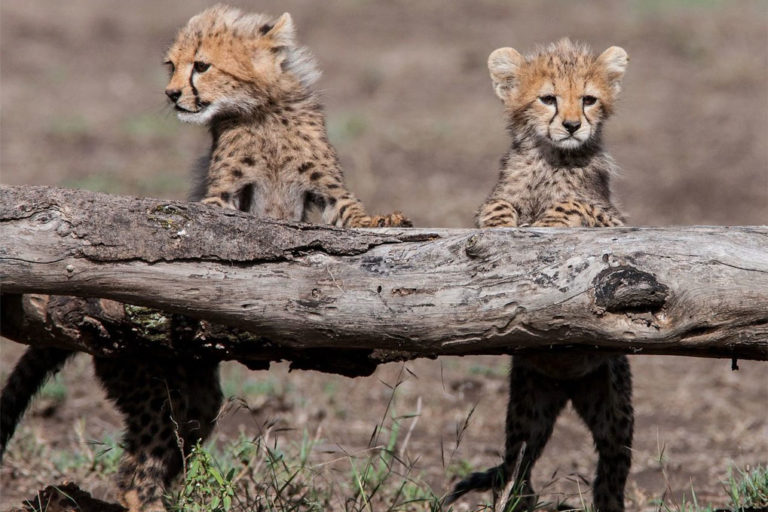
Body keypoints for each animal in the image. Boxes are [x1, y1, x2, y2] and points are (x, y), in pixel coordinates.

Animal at [0, 5, 410, 511]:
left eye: (201, 65)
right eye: (171, 66)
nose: (172, 94)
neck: (260, 111)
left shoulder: (328, 193)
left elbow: (355, 215)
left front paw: (386, 221)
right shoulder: (222, 196)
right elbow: (209, 222)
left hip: (193, 396)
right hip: (152, 384)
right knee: (135, 477)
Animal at [444, 39, 634, 512]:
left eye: (588, 99)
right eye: (547, 98)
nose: (571, 125)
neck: (553, 158)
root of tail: (566, 386)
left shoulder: (615, 219)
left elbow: (573, 204)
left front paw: (550, 216)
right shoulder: (494, 196)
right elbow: (496, 206)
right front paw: (499, 226)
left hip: (612, 410)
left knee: (612, 467)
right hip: (529, 408)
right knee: (519, 463)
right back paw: (511, 500)